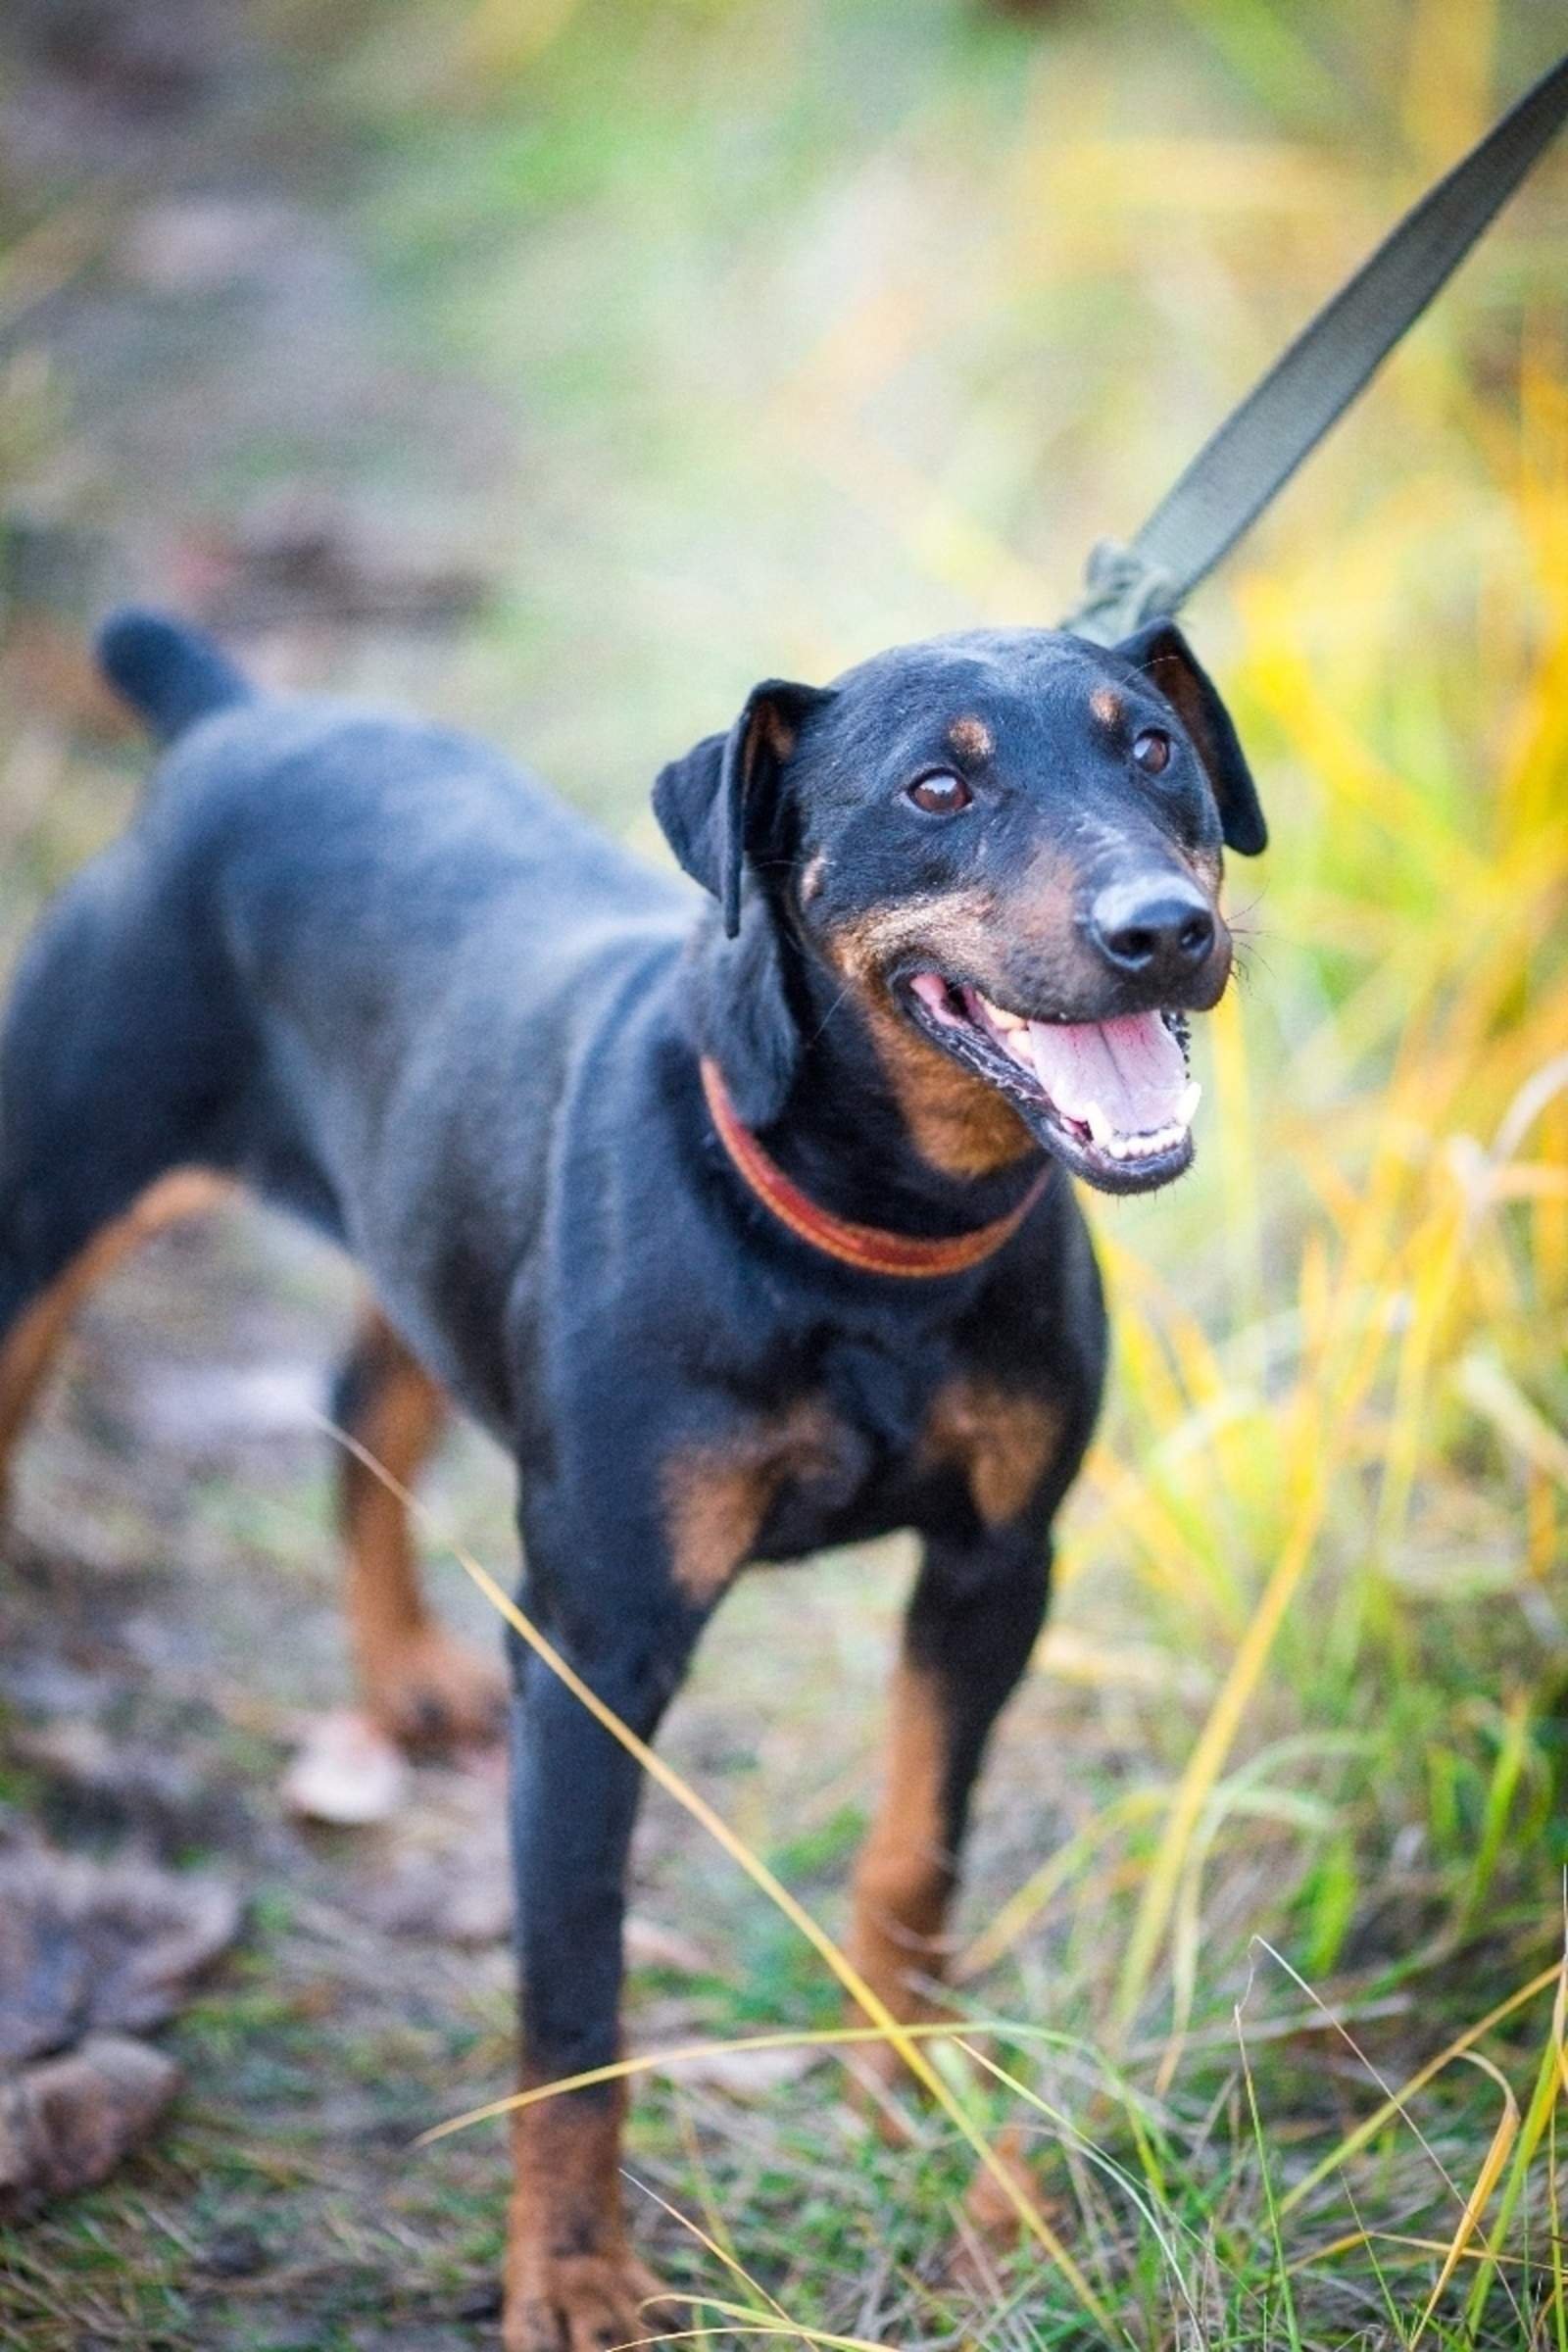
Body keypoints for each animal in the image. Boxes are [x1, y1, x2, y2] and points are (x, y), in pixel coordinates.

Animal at [0, 612, 1259, 2352]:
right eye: (937, 787)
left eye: (1155, 748)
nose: (1165, 929)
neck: (866, 1232)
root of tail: (224, 718)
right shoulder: (597, 1648)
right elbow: (572, 2006)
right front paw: (575, 2276)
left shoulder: (998, 1569)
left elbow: (913, 1860)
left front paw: (899, 2101)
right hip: (46, 1202)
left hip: (429, 1225)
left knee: (365, 1408)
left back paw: (402, 1679)